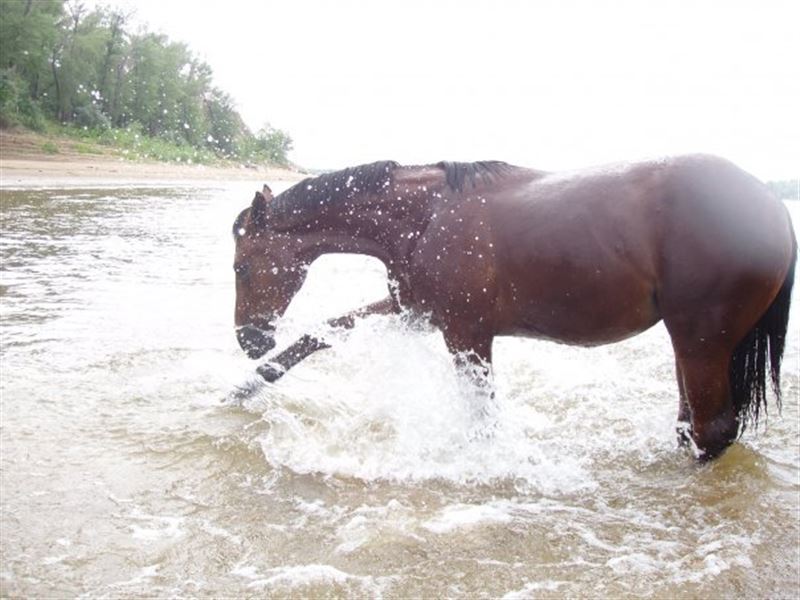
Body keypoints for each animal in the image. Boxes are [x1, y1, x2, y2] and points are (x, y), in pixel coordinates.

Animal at [231, 155, 792, 460]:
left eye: (241, 267)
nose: (248, 339)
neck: (428, 217)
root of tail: (772, 204)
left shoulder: (465, 333)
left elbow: (481, 411)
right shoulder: (414, 310)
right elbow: (323, 333)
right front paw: (249, 383)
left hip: (702, 341)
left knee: (712, 430)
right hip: (691, 344)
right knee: (692, 424)